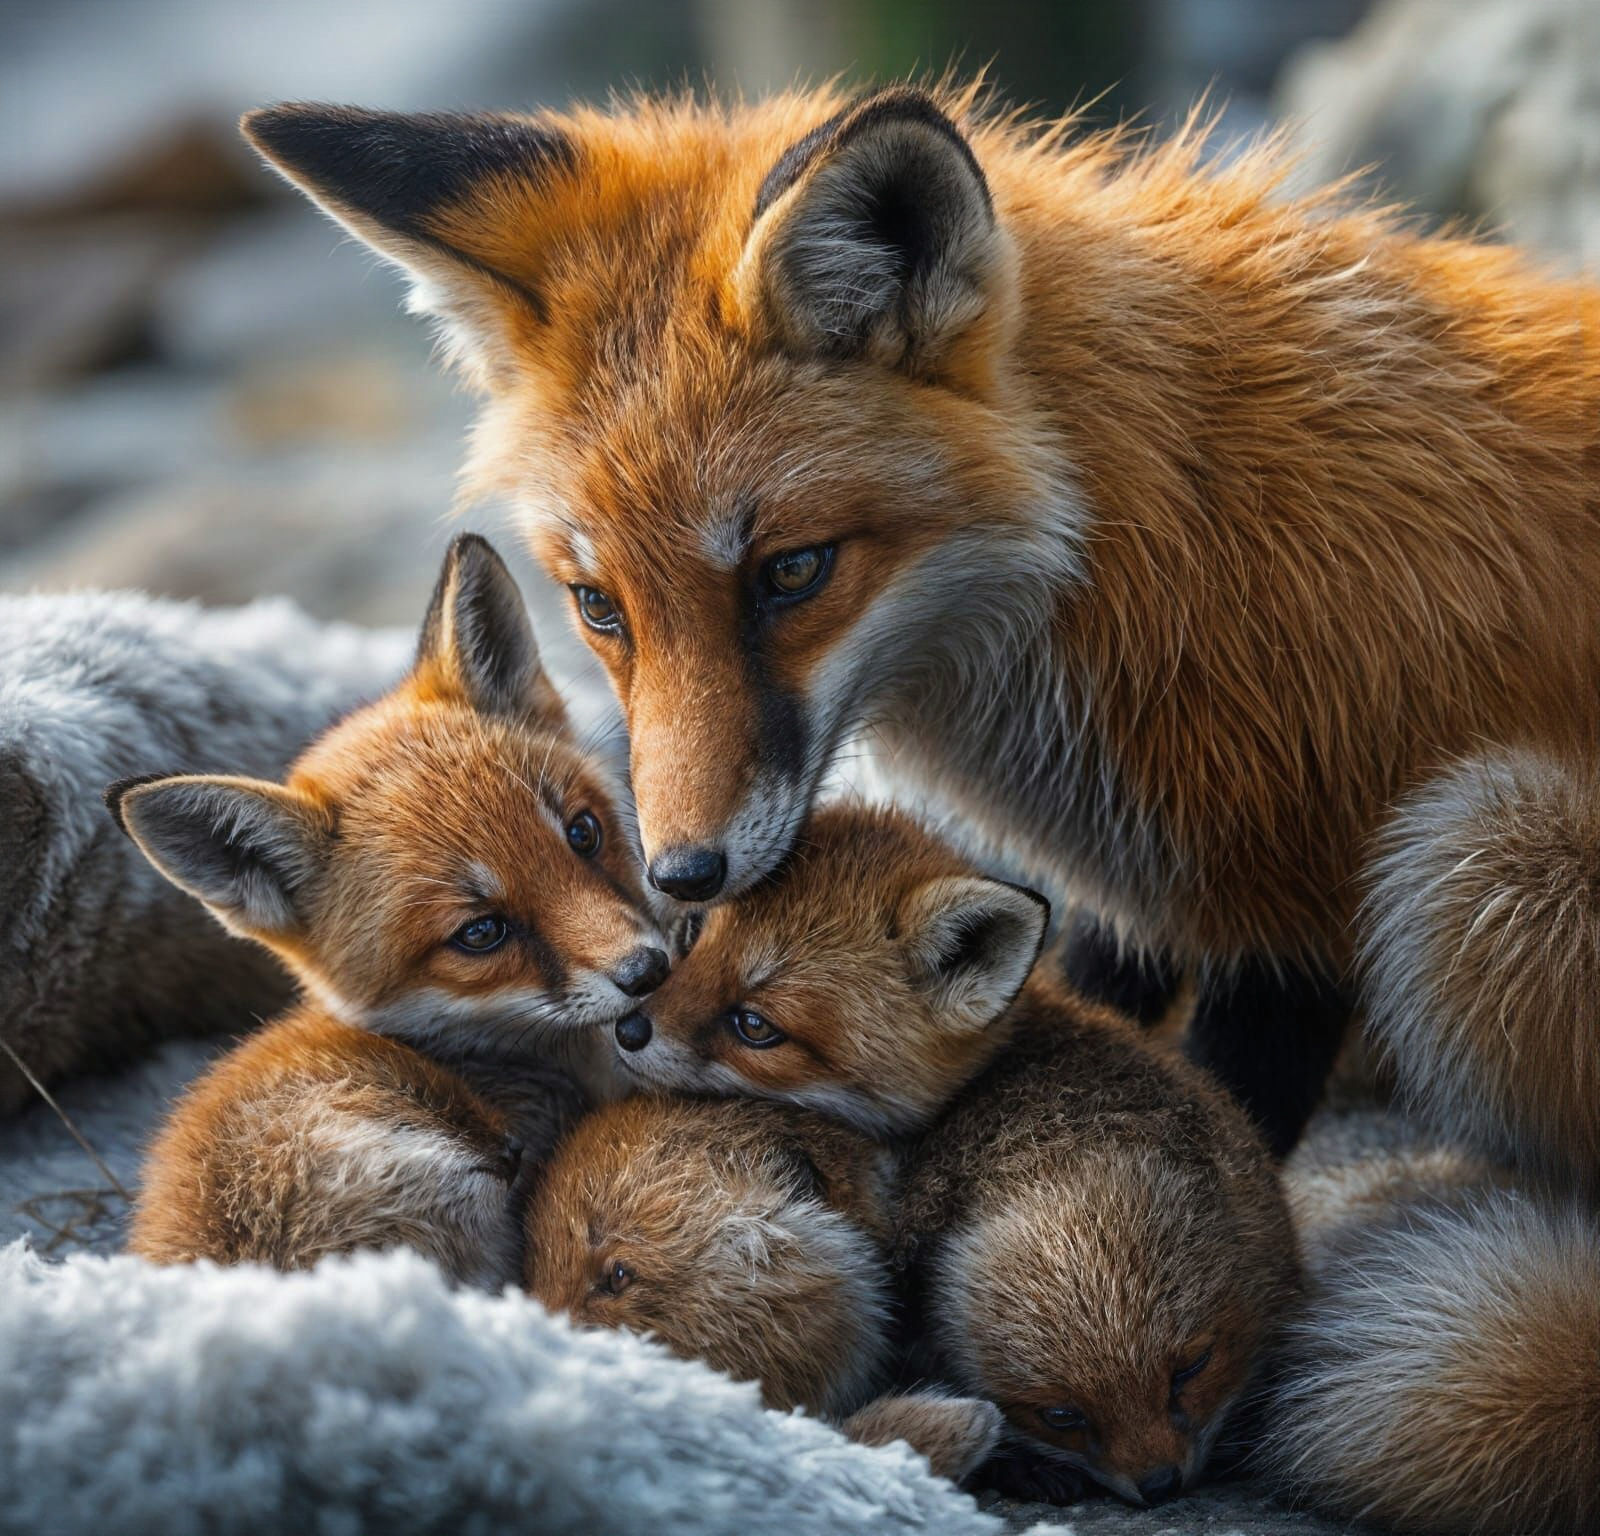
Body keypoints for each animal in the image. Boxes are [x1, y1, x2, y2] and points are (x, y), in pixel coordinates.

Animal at [239, 81, 1599, 1160]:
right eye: (597, 607)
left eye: (791, 572)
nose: (680, 874)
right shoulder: (1130, 902)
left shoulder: (1292, 913)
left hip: (1464, 854)